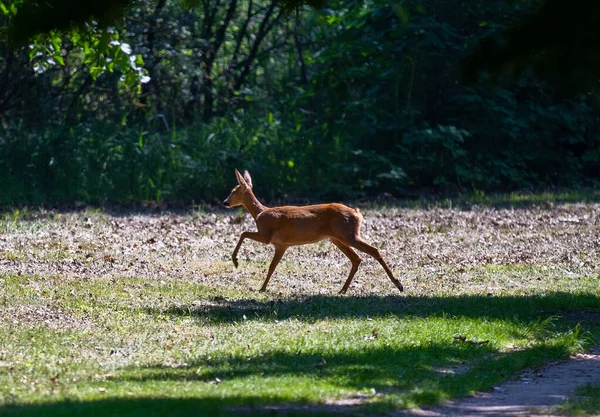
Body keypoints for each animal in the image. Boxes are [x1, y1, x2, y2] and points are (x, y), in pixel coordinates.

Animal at [221, 167, 404, 294]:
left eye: (233, 191)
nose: (224, 202)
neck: (259, 213)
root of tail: (358, 213)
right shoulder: (281, 245)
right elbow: (272, 266)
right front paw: (263, 287)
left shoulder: (267, 235)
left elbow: (243, 233)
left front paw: (236, 262)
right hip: (337, 238)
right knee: (356, 258)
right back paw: (343, 289)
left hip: (348, 234)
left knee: (373, 250)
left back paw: (398, 284)